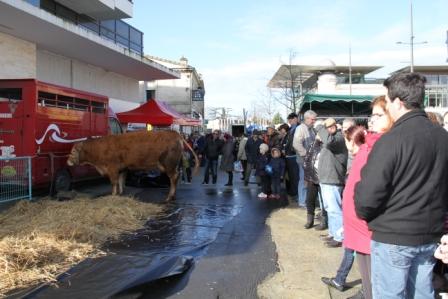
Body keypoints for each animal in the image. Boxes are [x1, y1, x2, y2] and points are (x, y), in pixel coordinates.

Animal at [67, 131, 200, 202]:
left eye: (73, 151)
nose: (67, 162)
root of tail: (175, 133)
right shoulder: (122, 168)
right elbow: (121, 181)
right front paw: (120, 193)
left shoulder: (112, 168)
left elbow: (114, 182)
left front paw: (113, 194)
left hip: (169, 166)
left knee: (174, 178)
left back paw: (169, 197)